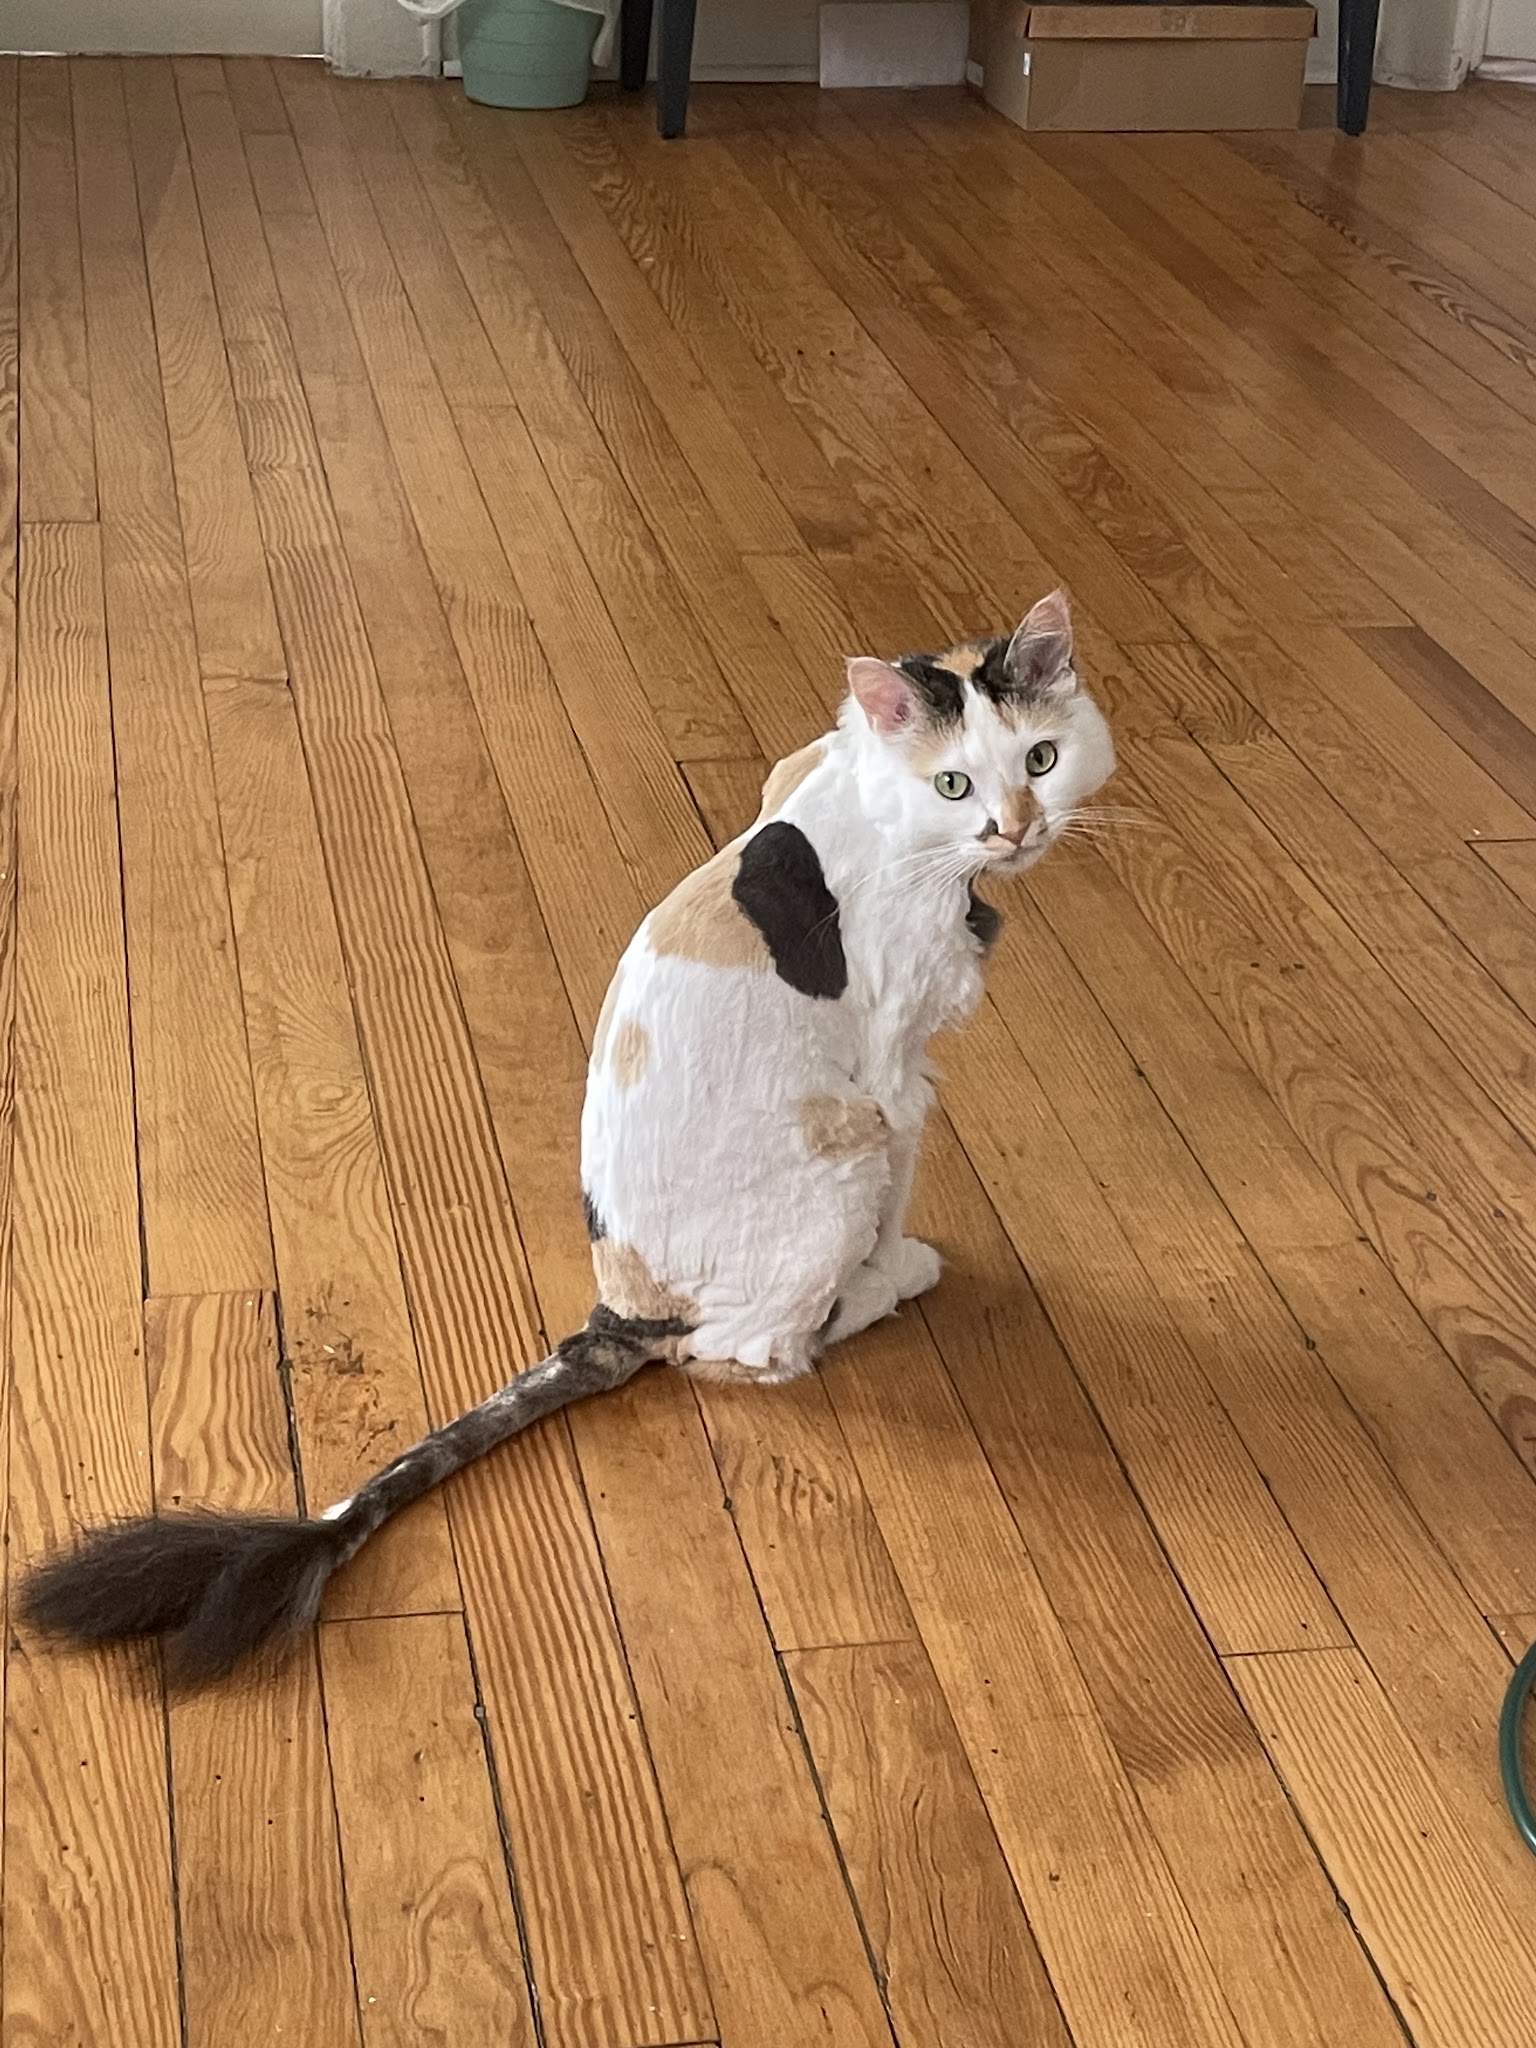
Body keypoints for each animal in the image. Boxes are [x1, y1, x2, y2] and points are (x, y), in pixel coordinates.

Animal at [23, 589, 1114, 1685]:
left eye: (1043, 760)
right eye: (954, 782)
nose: (1015, 829)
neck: (871, 792)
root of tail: (616, 1311)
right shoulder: (895, 1070)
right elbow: (902, 1167)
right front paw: (899, 1259)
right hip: (840, 1157)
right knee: (747, 1351)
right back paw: (882, 1289)